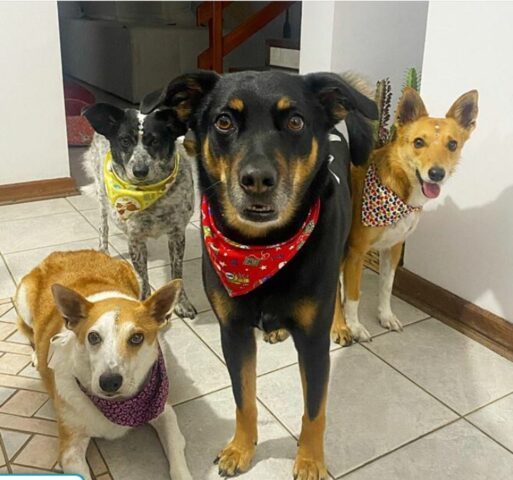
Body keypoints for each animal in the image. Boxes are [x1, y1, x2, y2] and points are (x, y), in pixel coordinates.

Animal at [16, 249, 193, 480]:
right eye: (93, 337)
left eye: (137, 338)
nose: (109, 382)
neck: (118, 405)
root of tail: (65, 252)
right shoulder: (70, 449)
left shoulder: (164, 409)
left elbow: (176, 449)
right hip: (22, 300)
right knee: (29, 331)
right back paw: (37, 354)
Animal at [83, 103, 197, 316]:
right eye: (125, 140)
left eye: (155, 141)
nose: (140, 171)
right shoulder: (135, 238)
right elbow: (142, 277)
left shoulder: (177, 234)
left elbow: (177, 272)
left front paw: (181, 303)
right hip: (101, 193)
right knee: (103, 225)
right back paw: (103, 249)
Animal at [142, 69, 378, 478]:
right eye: (223, 121)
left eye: (296, 121)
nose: (256, 180)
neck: (260, 249)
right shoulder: (233, 332)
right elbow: (244, 398)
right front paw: (240, 449)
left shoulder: (313, 344)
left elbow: (314, 411)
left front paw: (310, 461)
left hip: (346, 243)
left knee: (338, 288)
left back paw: (340, 325)